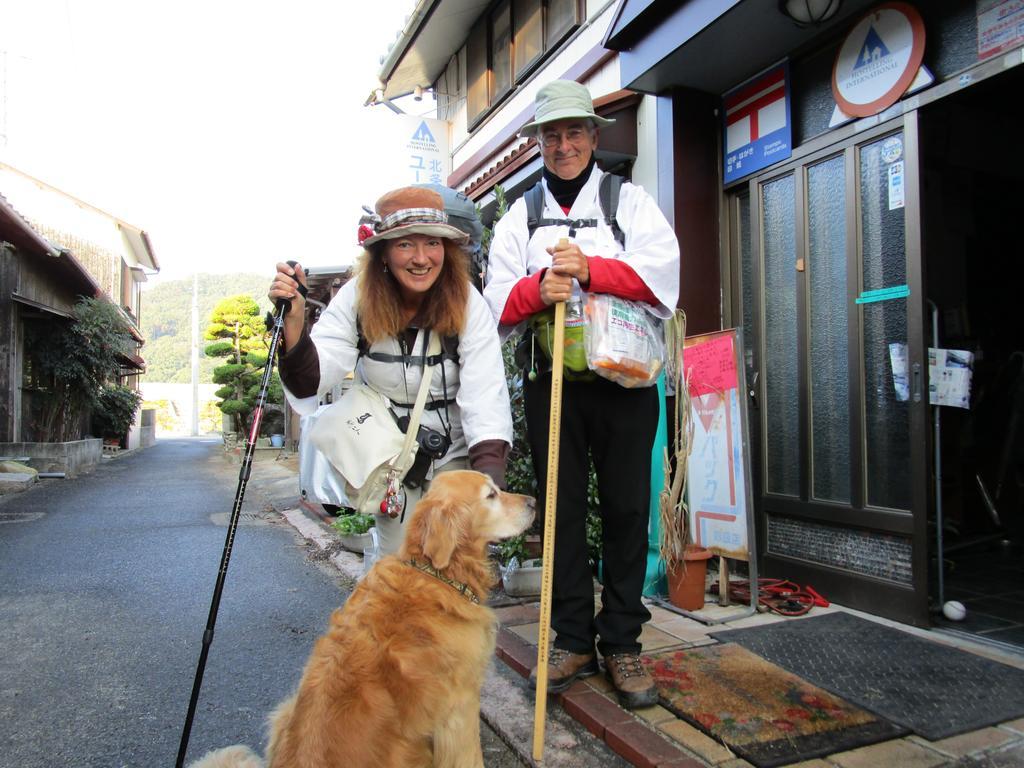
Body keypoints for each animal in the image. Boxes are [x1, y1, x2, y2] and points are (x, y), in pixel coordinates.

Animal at [188, 468, 536, 768]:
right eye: (491, 495)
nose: (533, 501)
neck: (435, 574)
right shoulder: (460, 707)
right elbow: (469, 757)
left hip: (284, 710)